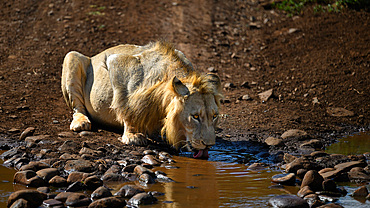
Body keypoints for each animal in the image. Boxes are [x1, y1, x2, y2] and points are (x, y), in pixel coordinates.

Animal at [61, 40, 221, 158]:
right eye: (195, 116)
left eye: (214, 116)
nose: (209, 145)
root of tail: (95, 56)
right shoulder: (116, 62)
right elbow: (125, 104)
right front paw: (133, 136)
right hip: (72, 56)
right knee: (77, 107)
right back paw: (81, 122)